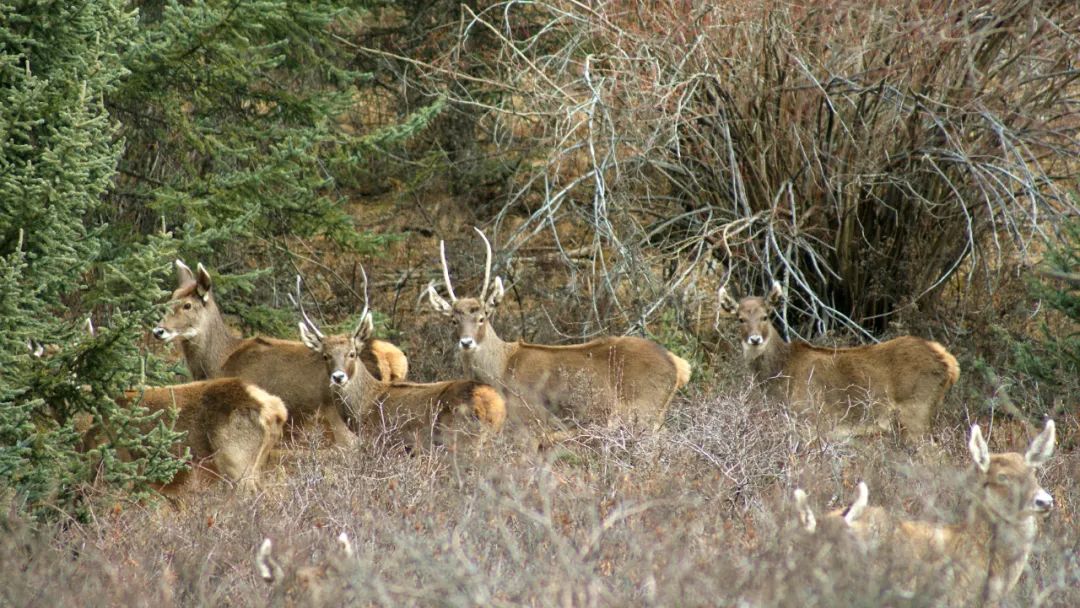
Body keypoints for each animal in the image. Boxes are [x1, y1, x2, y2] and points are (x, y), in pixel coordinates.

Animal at [293, 273, 503, 453]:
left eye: (352, 353)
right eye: (325, 355)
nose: (338, 377)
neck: (364, 408)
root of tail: (494, 404)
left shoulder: (385, 441)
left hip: (459, 438)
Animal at [423, 228, 691, 431]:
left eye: (482, 317)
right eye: (453, 320)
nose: (466, 342)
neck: (500, 369)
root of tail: (679, 365)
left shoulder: (530, 414)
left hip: (646, 409)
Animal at [721, 282, 959, 440]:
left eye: (766, 316)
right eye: (740, 318)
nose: (755, 339)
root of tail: (949, 363)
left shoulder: (811, 419)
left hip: (917, 410)